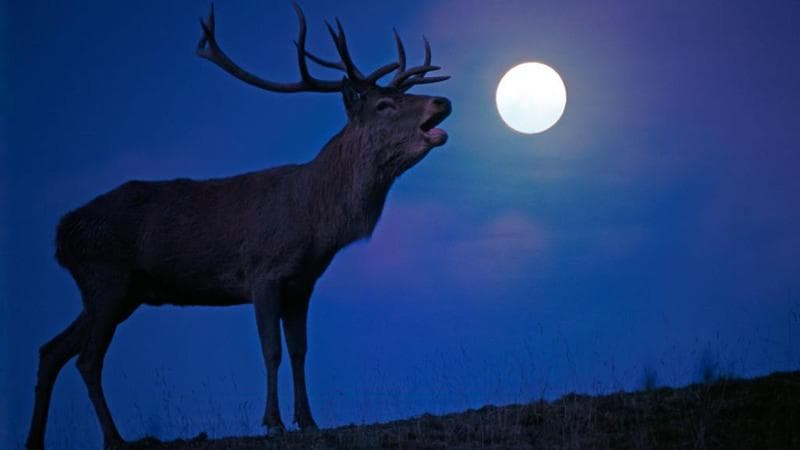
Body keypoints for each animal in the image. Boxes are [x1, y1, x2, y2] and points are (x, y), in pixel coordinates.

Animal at [25, 3, 451, 449]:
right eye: (385, 104)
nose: (442, 101)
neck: (316, 221)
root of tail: (61, 235)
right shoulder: (263, 273)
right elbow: (271, 350)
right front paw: (273, 421)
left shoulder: (302, 283)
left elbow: (300, 350)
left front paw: (308, 419)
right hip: (106, 277)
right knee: (87, 359)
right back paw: (115, 438)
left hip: (119, 291)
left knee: (51, 349)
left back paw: (35, 438)